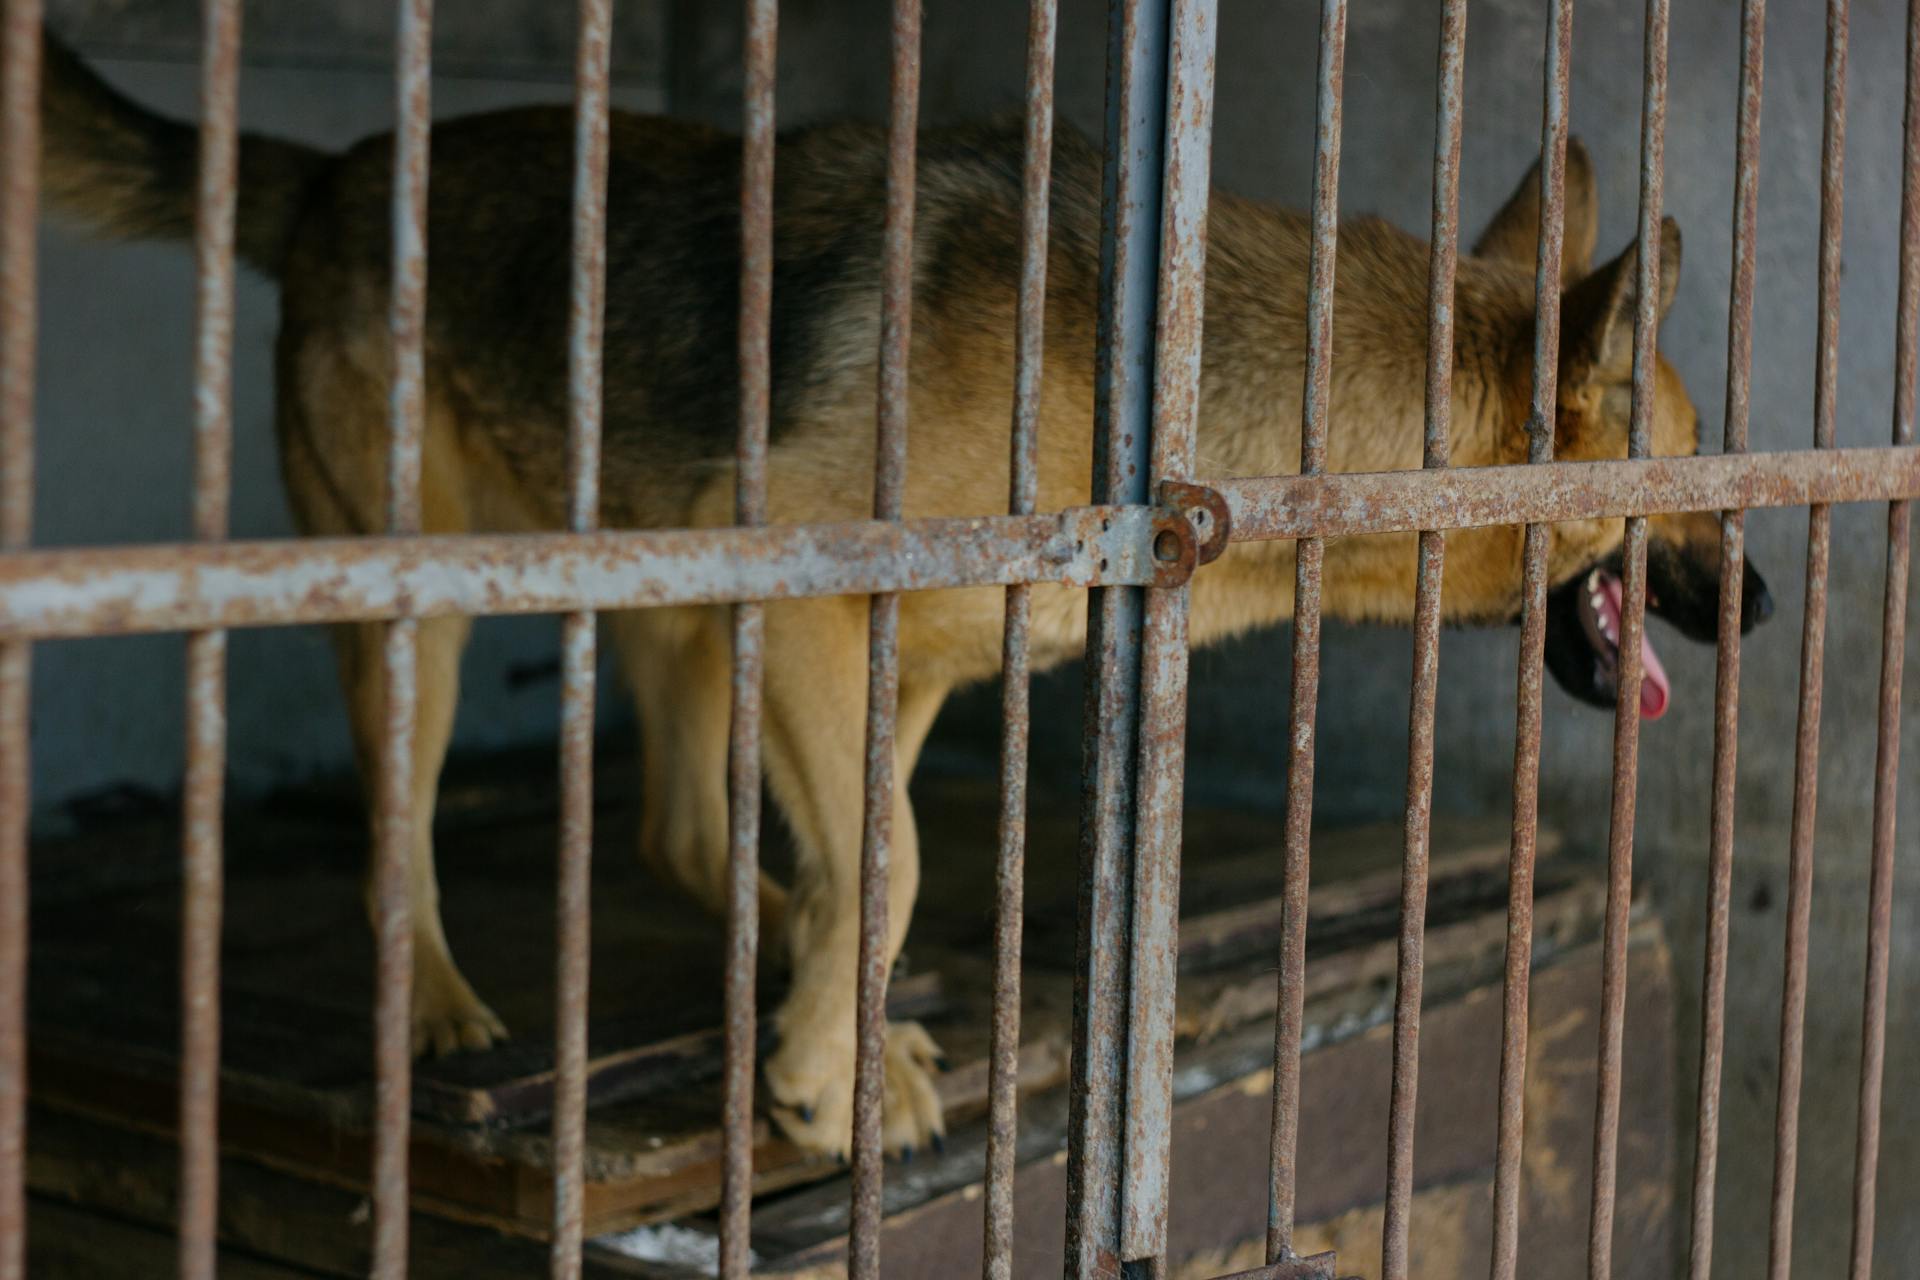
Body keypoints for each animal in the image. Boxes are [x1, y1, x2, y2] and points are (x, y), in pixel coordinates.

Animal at [37, 37, 1766, 1159]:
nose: (1760, 599)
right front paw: (822, 1070)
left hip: (687, 600)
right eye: (1692, 471)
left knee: (684, 833)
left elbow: (871, 869)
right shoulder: (821, 611)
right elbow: (894, 861)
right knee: (409, 838)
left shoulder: (898, 663)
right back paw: (448, 1004)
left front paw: (835, 1030)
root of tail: (335, 175)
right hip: (429, 611)